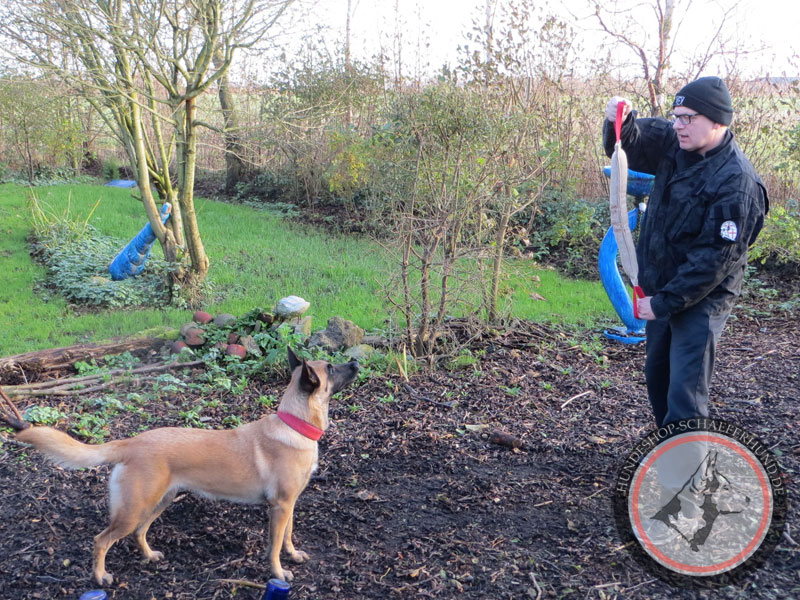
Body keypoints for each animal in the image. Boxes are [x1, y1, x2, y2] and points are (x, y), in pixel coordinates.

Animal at [0, 346, 356, 584]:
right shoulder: (279, 507)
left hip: (158, 503)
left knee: (139, 533)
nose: (355, 361)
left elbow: (288, 537)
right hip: (134, 509)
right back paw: (101, 576)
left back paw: (149, 556)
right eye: (331, 367)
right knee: (101, 540)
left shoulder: (289, 505)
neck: (295, 425)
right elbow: (273, 547)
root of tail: (131, 442)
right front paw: (280, 572)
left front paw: (293, 556)